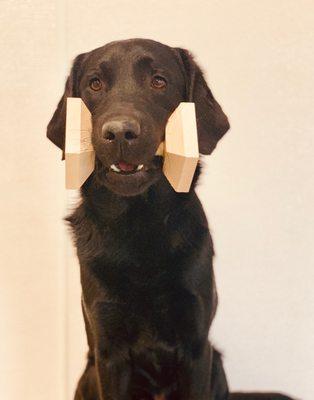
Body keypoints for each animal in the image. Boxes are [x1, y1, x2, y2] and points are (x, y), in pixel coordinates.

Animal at [46, 39, 294, 400]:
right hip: (87, 376)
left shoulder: (196, 345)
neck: (140, 224)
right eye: (95, 84)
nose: (119, 132)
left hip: (217, 364)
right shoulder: (109, 351)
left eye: (159, 81)